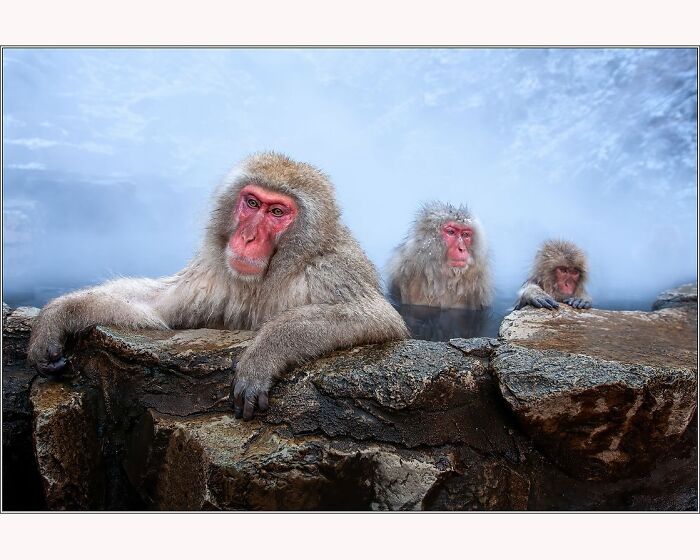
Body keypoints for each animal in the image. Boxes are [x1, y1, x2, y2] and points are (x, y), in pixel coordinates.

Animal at [27, 153, 410, 420]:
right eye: (252, 203)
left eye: (277, 212)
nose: (248, 237)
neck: (272, 273)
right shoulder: (213, 272)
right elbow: (158, 306)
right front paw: (59, 316)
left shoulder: (333, 268)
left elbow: (376, 318)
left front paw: (263, 356)